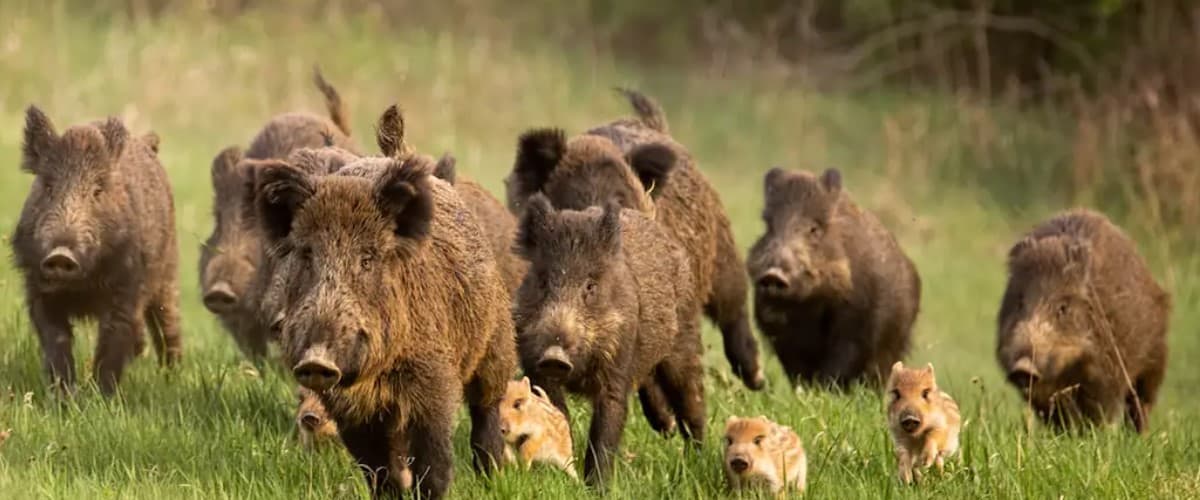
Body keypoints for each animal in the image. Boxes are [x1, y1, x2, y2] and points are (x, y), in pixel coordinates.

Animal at [12, 106, 181, 395]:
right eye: (48, 186)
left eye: (98, 190)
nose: (61, 255)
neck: (81, 287)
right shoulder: (38, 290)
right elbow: (56, 341)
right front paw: (63, 397)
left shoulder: (127, 289)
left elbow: (112, 342)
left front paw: (103, 397)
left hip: (167, 274)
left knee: (168, 323)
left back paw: (172, 377)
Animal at [255, 151, 516, 499]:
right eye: (308, 255)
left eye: (367, 259)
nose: (316, 361)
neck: (375, 375)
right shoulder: (350, 410)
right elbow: (376, 467)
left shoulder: (434, 381)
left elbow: (434, 460)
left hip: (495, 344)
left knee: (485, 411)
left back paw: (492, 478)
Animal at [512, 193, 706, 485]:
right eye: (543, 282)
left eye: (590, 286)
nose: (554, 356)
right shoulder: (534, 365)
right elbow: (556, 413)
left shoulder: (617, 365)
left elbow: (607, 426)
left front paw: (597, 488)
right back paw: (668, 429)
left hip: (685, 338)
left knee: (691, 397)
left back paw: (697, 454)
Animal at [746, 167, 921, 388]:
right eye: (769, 227)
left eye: (814, 229)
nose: (773, 275)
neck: (809, 304)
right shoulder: (780, 333)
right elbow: (797, 370)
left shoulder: (857, 327)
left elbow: (839, 366)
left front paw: (823, 390)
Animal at [996, 209, 1170, 433]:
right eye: (1019, 302)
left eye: (1063, 308)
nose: (1023, 368)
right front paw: (1063, 434)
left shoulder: (1106, 370)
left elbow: (1098, 409)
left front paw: (1091, 434)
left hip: (1155, 356)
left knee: (1142, 402)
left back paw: (1138, 434)